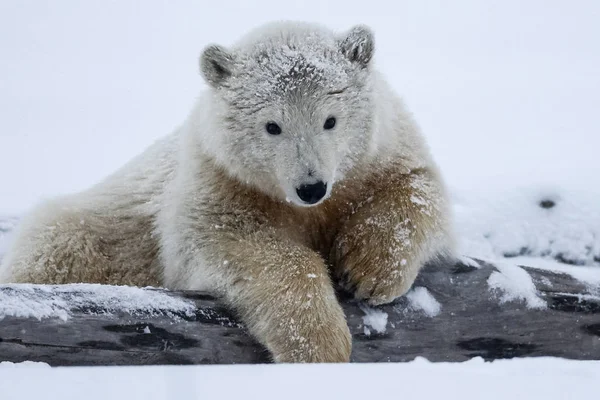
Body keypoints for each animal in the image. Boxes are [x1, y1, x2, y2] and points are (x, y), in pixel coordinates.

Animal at [0, 23, 450, 364]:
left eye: (331, 120)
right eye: (272, 126)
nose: (311, 187)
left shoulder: (379, 153)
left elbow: (417, 187)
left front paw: (368, 271)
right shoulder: (219, 181)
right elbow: (232, 242)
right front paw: (320, 344)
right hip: (79, 238)